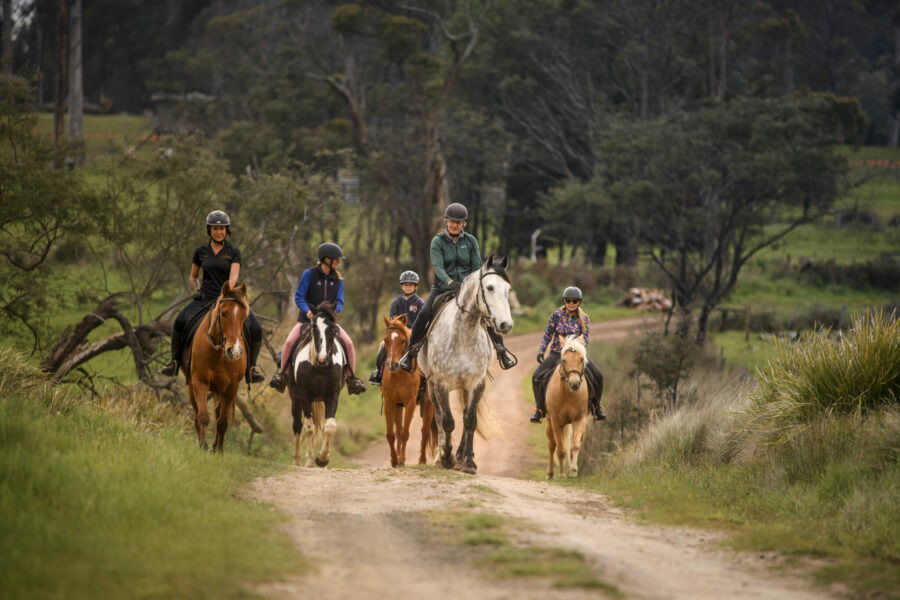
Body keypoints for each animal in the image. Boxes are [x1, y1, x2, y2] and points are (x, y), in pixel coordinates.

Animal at [182, 281, 249, 453]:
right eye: (223, 314)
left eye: (243, 316)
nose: (235, 351)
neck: (218, 354)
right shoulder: (199, 382)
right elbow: (203, 417)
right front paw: (203, 446)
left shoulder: (232, 388)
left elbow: (222, 421)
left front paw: (219, 450)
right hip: (192, 386)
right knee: (196, 415)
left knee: (219, 413)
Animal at [286, 303, 345, 468]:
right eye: (313, 328)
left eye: (333, 329)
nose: (322, 358)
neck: (320, 368)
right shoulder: (305, 396)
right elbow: (309, 428)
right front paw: (310, 460)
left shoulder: (332, 395)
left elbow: (329, 427)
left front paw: (323, 459)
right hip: (295, 398)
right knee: (297, 425)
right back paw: (297, 460)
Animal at [380, 314, 436, 467]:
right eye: (385, 340)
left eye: (403, 340)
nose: (392, 365)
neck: (399, 374)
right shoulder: (390, 403)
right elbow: (391, 434)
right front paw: (394, 459)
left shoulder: (410, 403)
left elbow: (406, 433)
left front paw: (401, 459)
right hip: (399, 406)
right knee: (399, 430)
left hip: (429, 404)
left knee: (425, 431)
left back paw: (422, 460)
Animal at [419, 255, 514, 474]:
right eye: (489, 287)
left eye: (507, 289)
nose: (506, 325)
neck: (464, 334)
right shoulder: (441, 385)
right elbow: (447, 421)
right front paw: (447, 458)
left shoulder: (477, 383)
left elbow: (470, 420)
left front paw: (469, 462)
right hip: (432, 386)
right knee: (439, 417)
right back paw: (441, 457)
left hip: (464, 386)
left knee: (463, 414)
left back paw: (461, 456)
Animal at [545, 335, 589, 479]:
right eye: (564, 360)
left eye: (581, 359)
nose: (574, 384)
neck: (568, 394)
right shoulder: (555, 421)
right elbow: (560, 449)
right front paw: (562, 474)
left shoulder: (580, 419)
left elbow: (575, 445)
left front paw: (573, 471)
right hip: (549, 422)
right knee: (552, 445)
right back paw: (550, 474)